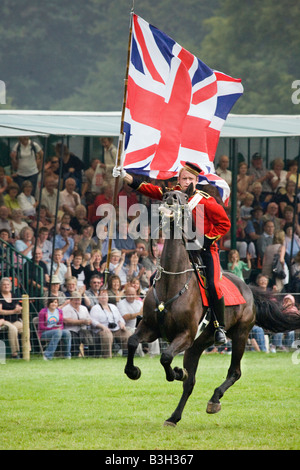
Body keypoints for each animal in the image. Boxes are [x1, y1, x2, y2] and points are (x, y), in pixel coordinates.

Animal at [124, 187, 300, 426]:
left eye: (183, 198)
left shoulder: (185, 335)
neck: (172, 282)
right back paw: (174, 417)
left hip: (240, 335)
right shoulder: (151, 329)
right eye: (166, 192)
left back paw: (214, 399)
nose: (169, 198)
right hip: (198, 346)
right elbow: (133, 342)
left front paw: (176, 373)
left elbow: (166, 357)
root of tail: (247, 288)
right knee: (190, 384)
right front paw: (133, 371)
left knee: (234, 372)